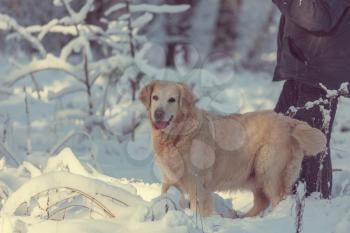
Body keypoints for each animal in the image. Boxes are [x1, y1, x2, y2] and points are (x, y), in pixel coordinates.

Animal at [138, 79, 326, 217]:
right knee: (262, 202)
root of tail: (289, 121)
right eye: (155, 97)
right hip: (255, 175)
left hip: (269, 171)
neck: (179, 134)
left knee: (279, 200)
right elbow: (164, 197)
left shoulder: (198, 183)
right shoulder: (169, 179)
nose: (158, 113)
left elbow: (202, 209)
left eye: (172, 100)